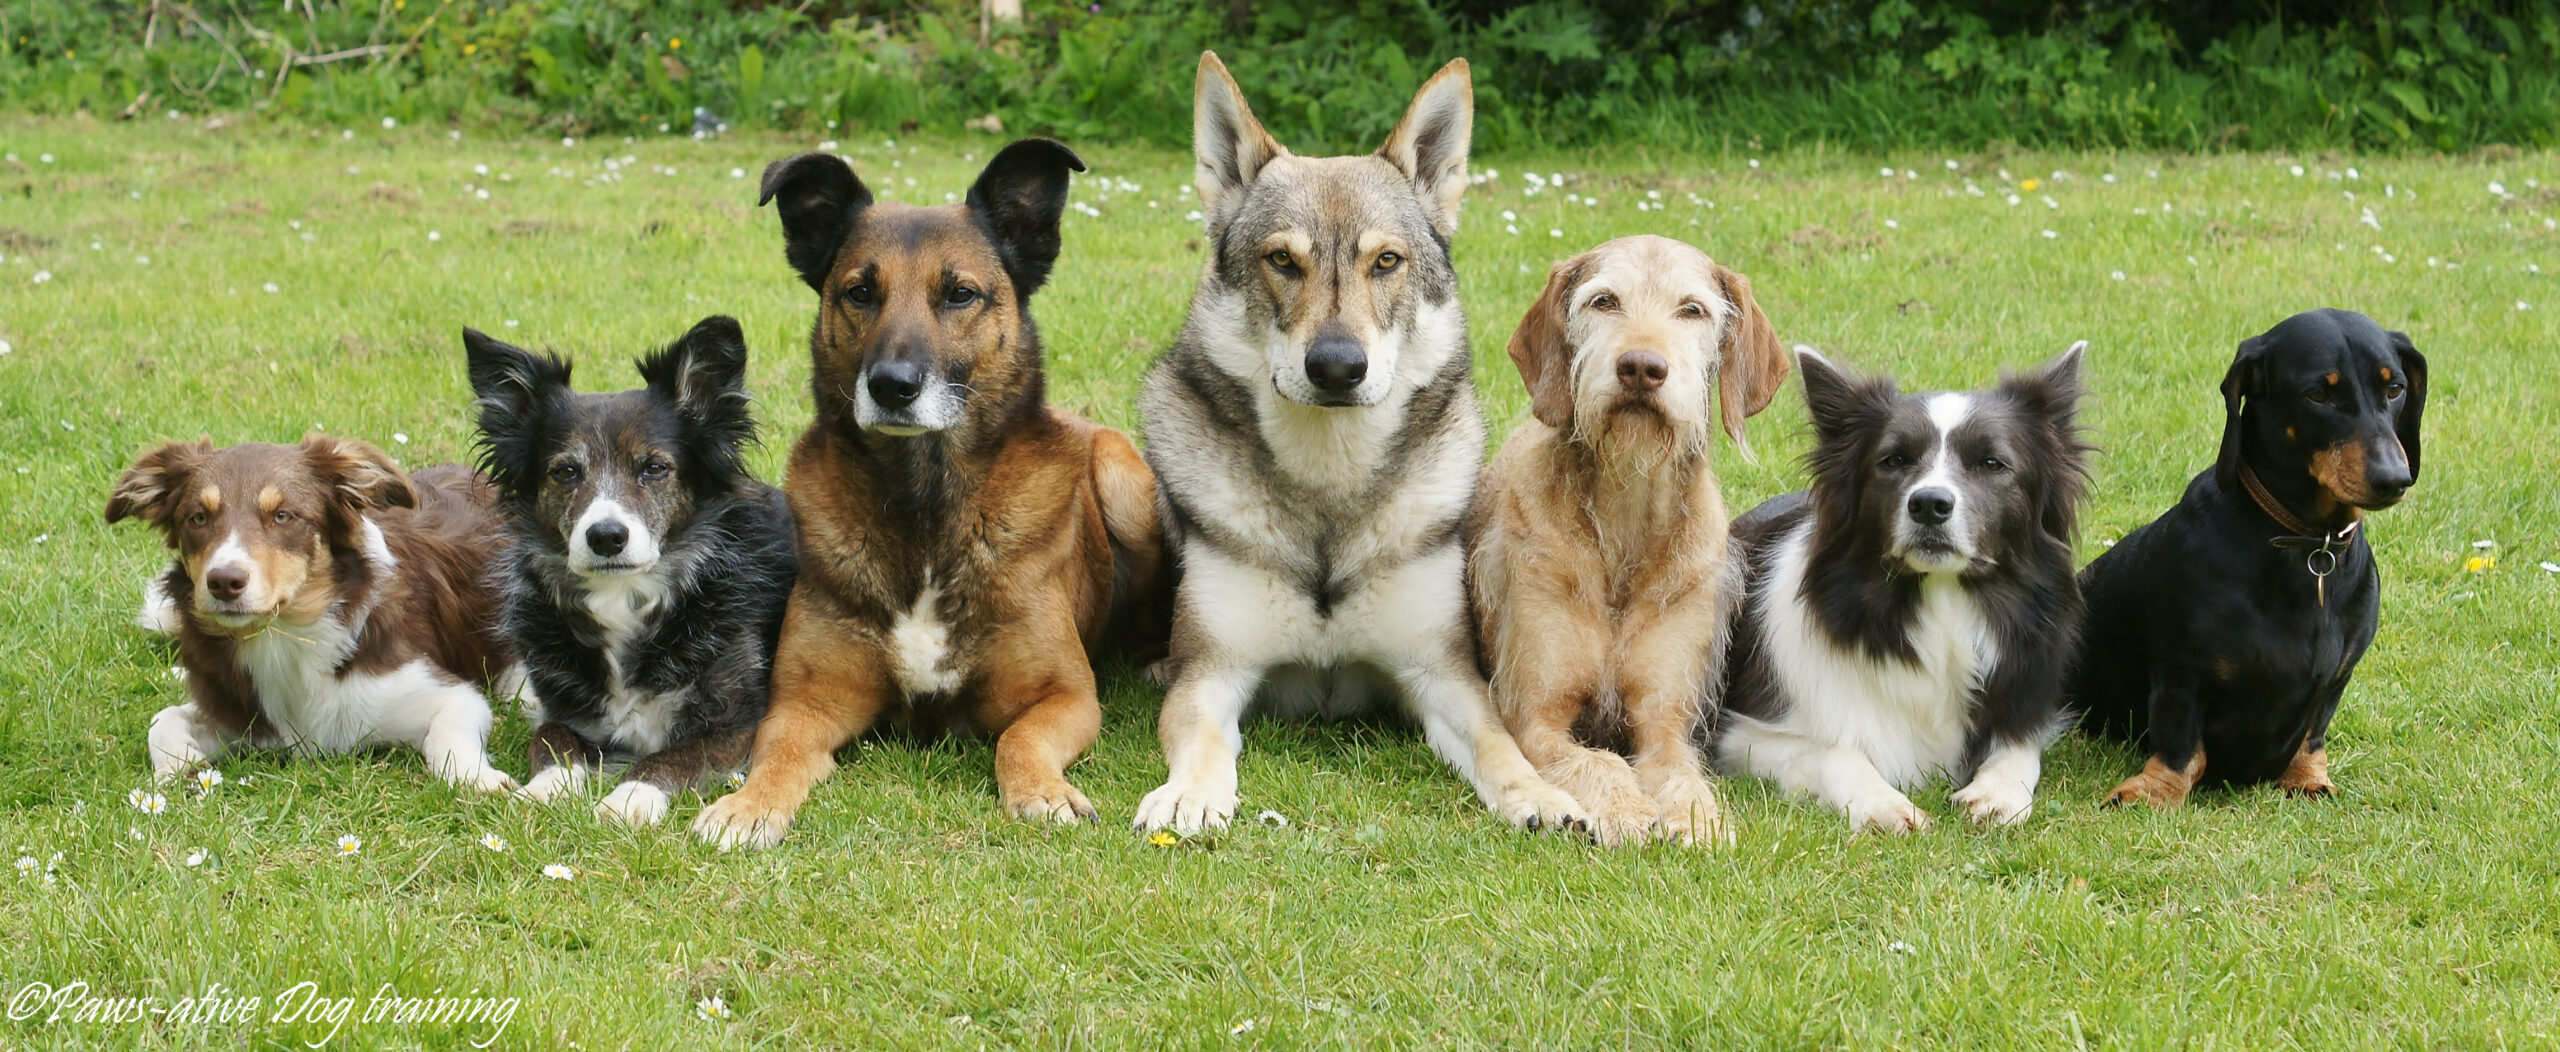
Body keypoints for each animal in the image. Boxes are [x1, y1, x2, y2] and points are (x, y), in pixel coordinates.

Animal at [110, 435, 524, 788]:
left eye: (282, 516)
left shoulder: (450, 694)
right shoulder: (240, 714)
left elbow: (448, 737)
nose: (223, 582)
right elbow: (163, 720)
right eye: (198, 518)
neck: (285, 637)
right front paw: (175, 768)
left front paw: (479, 779)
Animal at [680, 140, 1162, 854]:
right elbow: (780, 756)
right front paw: (748, 805)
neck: (927, 502)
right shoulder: (803, 705)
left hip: (1119, 478)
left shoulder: (1067, 697)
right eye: (859, 292)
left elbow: (1020, 739)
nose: (892, 385)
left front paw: (1043, 793)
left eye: (960, 294)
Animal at [1136, 53, 1587, 834]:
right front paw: (1190, 795)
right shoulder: (1213, 673)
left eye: (1386, 262)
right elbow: (1199, 743)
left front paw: (1542, 796)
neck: (1329, 483)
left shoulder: (1443, 676)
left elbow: (1501, 746)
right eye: (1283, 261)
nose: (1338, 367)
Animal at [1474, 236, 1792, 849]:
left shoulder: (1665, 720)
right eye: (1604, 301)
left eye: (1692, 310)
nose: (1642, 367)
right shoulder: (1536, 719)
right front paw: (1625, 811)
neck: (1624, 519)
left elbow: (1679, 772)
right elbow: (1599, 761)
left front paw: (1699, 820)